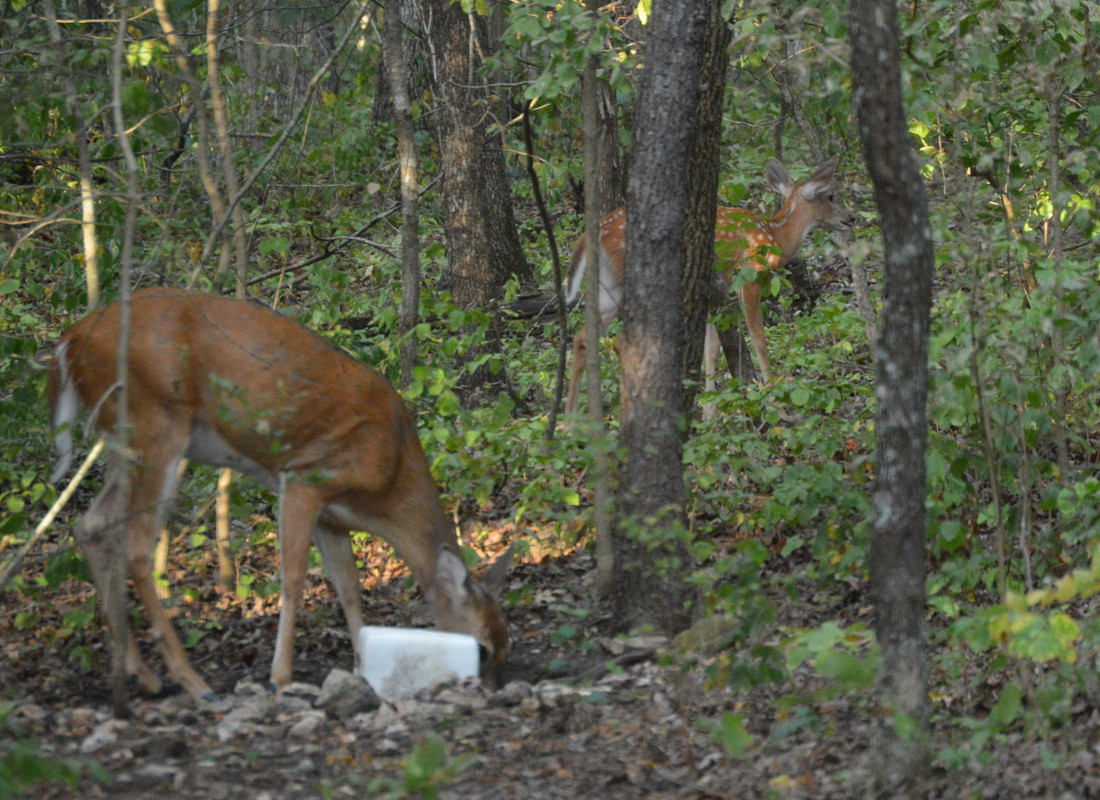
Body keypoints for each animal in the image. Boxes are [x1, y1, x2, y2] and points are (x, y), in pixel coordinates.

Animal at [47, 288, 514, 703]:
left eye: (505, 645)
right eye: (482, 647)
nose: (490, 691)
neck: (388, 480)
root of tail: (69, 343)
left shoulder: (332, 516)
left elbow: (349, 587)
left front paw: (361, 667)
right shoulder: (305, 479)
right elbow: (293, 578)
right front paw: (281, 678)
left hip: (123, 443)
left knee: (91, 525)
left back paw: (143, 676)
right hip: (157, 423)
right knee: (136, 544)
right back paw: (195, 685)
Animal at [563, 157, 856, 417]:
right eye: (831, 196)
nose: (851, 218)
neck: (775, 236)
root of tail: (592, 234)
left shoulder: (718, 288)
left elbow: (711, 348)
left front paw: (711, 411)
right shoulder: (749, 276)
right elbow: (758, 339)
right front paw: (773, 401)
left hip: (608, 288)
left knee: (582, 338)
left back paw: (571, 424)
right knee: (620, 343)